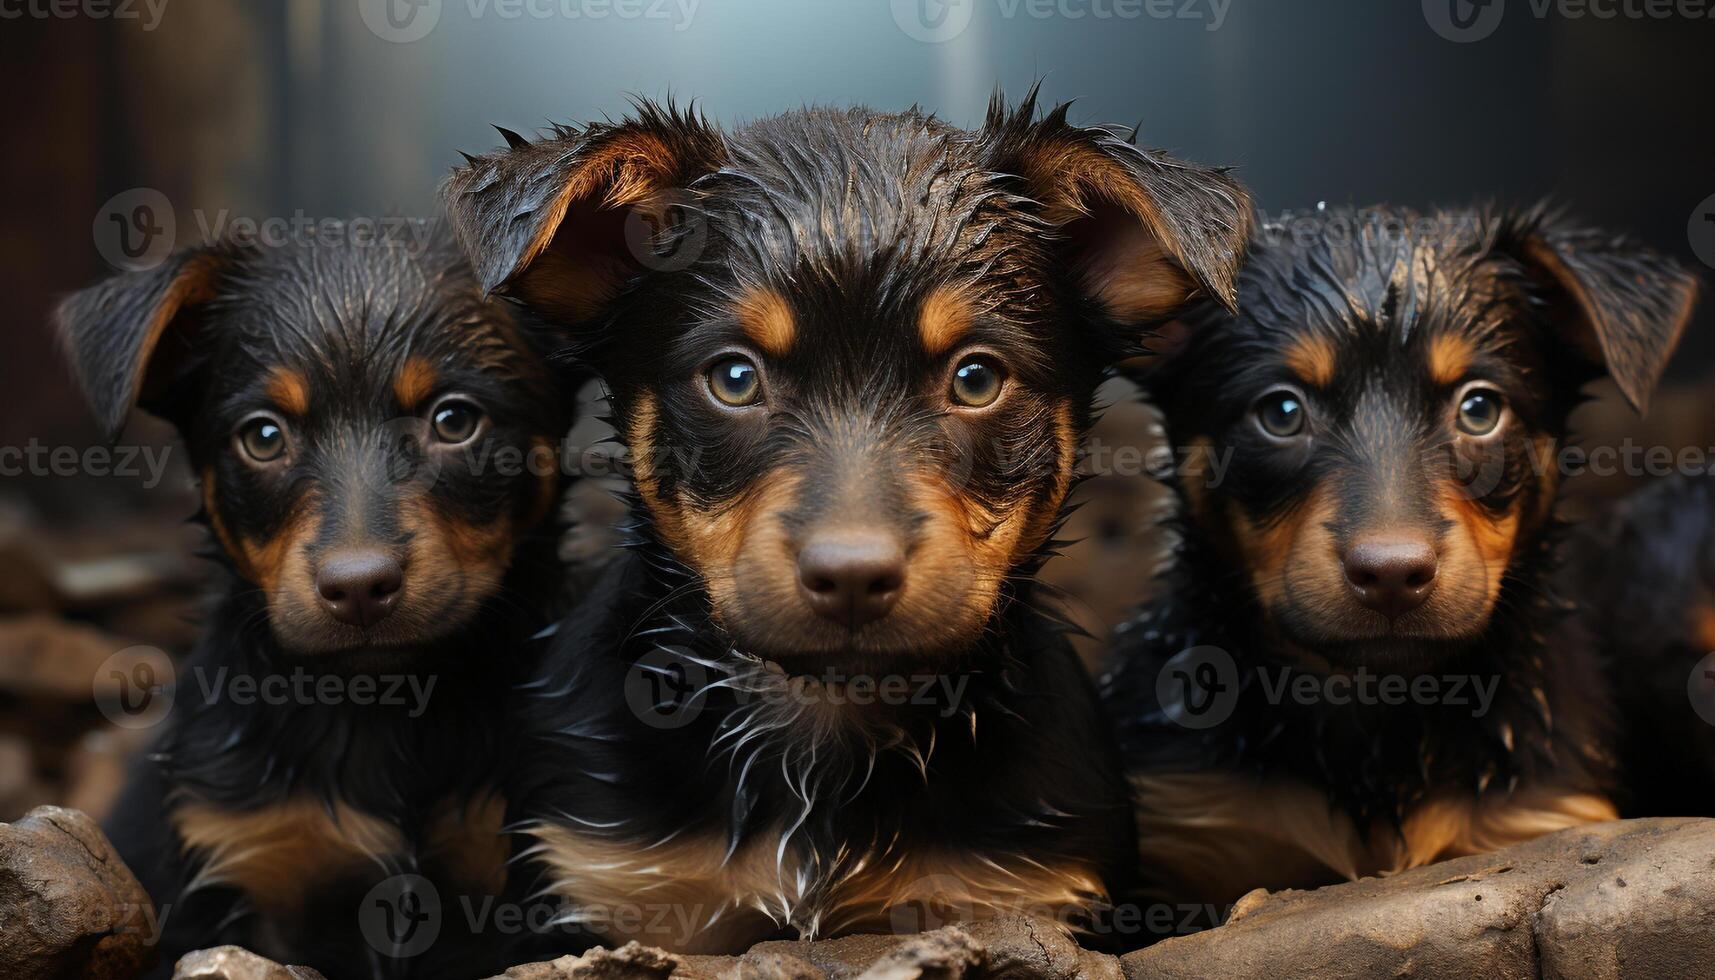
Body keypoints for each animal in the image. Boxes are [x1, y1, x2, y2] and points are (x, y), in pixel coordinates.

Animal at [442, 95, 1248, 954]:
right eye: (734, 377)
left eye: (976, 379)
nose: (853, 575)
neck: (823, 715)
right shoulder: (600, 889)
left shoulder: (1022, 895)